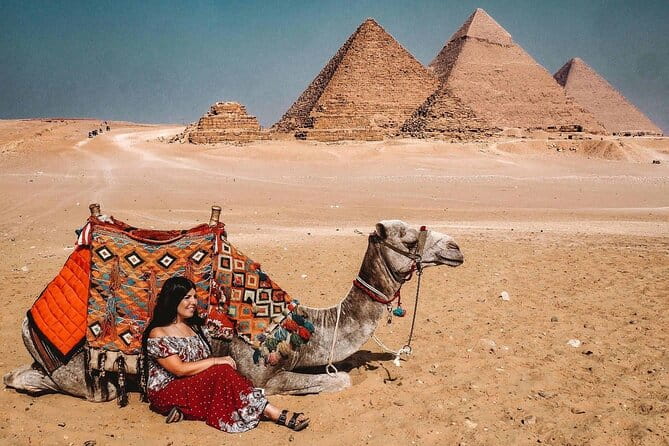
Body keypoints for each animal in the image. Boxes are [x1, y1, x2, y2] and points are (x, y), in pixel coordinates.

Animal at [4, 219, 463, 401]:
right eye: (407, 240)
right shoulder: (262, 374)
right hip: (77, 368)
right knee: (51, 381)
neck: (304, 329)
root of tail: (30, 319)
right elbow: (339, 381)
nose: (456, 248)